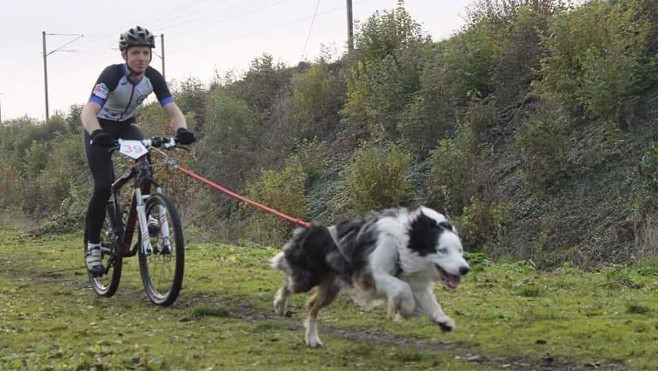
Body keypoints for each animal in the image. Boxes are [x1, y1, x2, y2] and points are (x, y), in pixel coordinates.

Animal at [270, 206, 468, 348]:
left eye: (460, 250)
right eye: (442, 250)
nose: (465, 269)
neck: (401, 245)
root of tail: (307, 231)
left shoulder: (416, 283)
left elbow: (430, 302)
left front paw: (443, 321)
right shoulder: (371, 275)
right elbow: (402, 288)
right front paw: (406, 308)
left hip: (330, 288)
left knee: (312, 306)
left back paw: (312, 339)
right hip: (306, 278)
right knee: (288, 286)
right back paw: (280, 305)